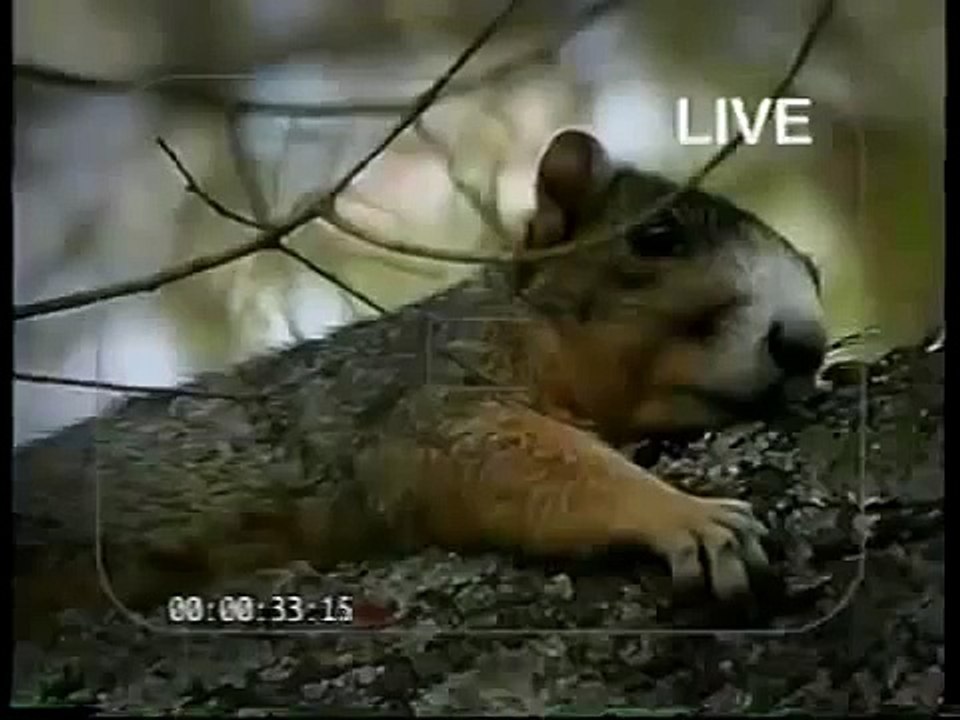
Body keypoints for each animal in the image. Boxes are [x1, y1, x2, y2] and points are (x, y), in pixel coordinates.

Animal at [13, 129, 827, 641]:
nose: (805, 344)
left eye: (815, 275)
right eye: (656, 237)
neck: (529, 328)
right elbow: (482, 455)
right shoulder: (418, 394)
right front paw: (689, 516)